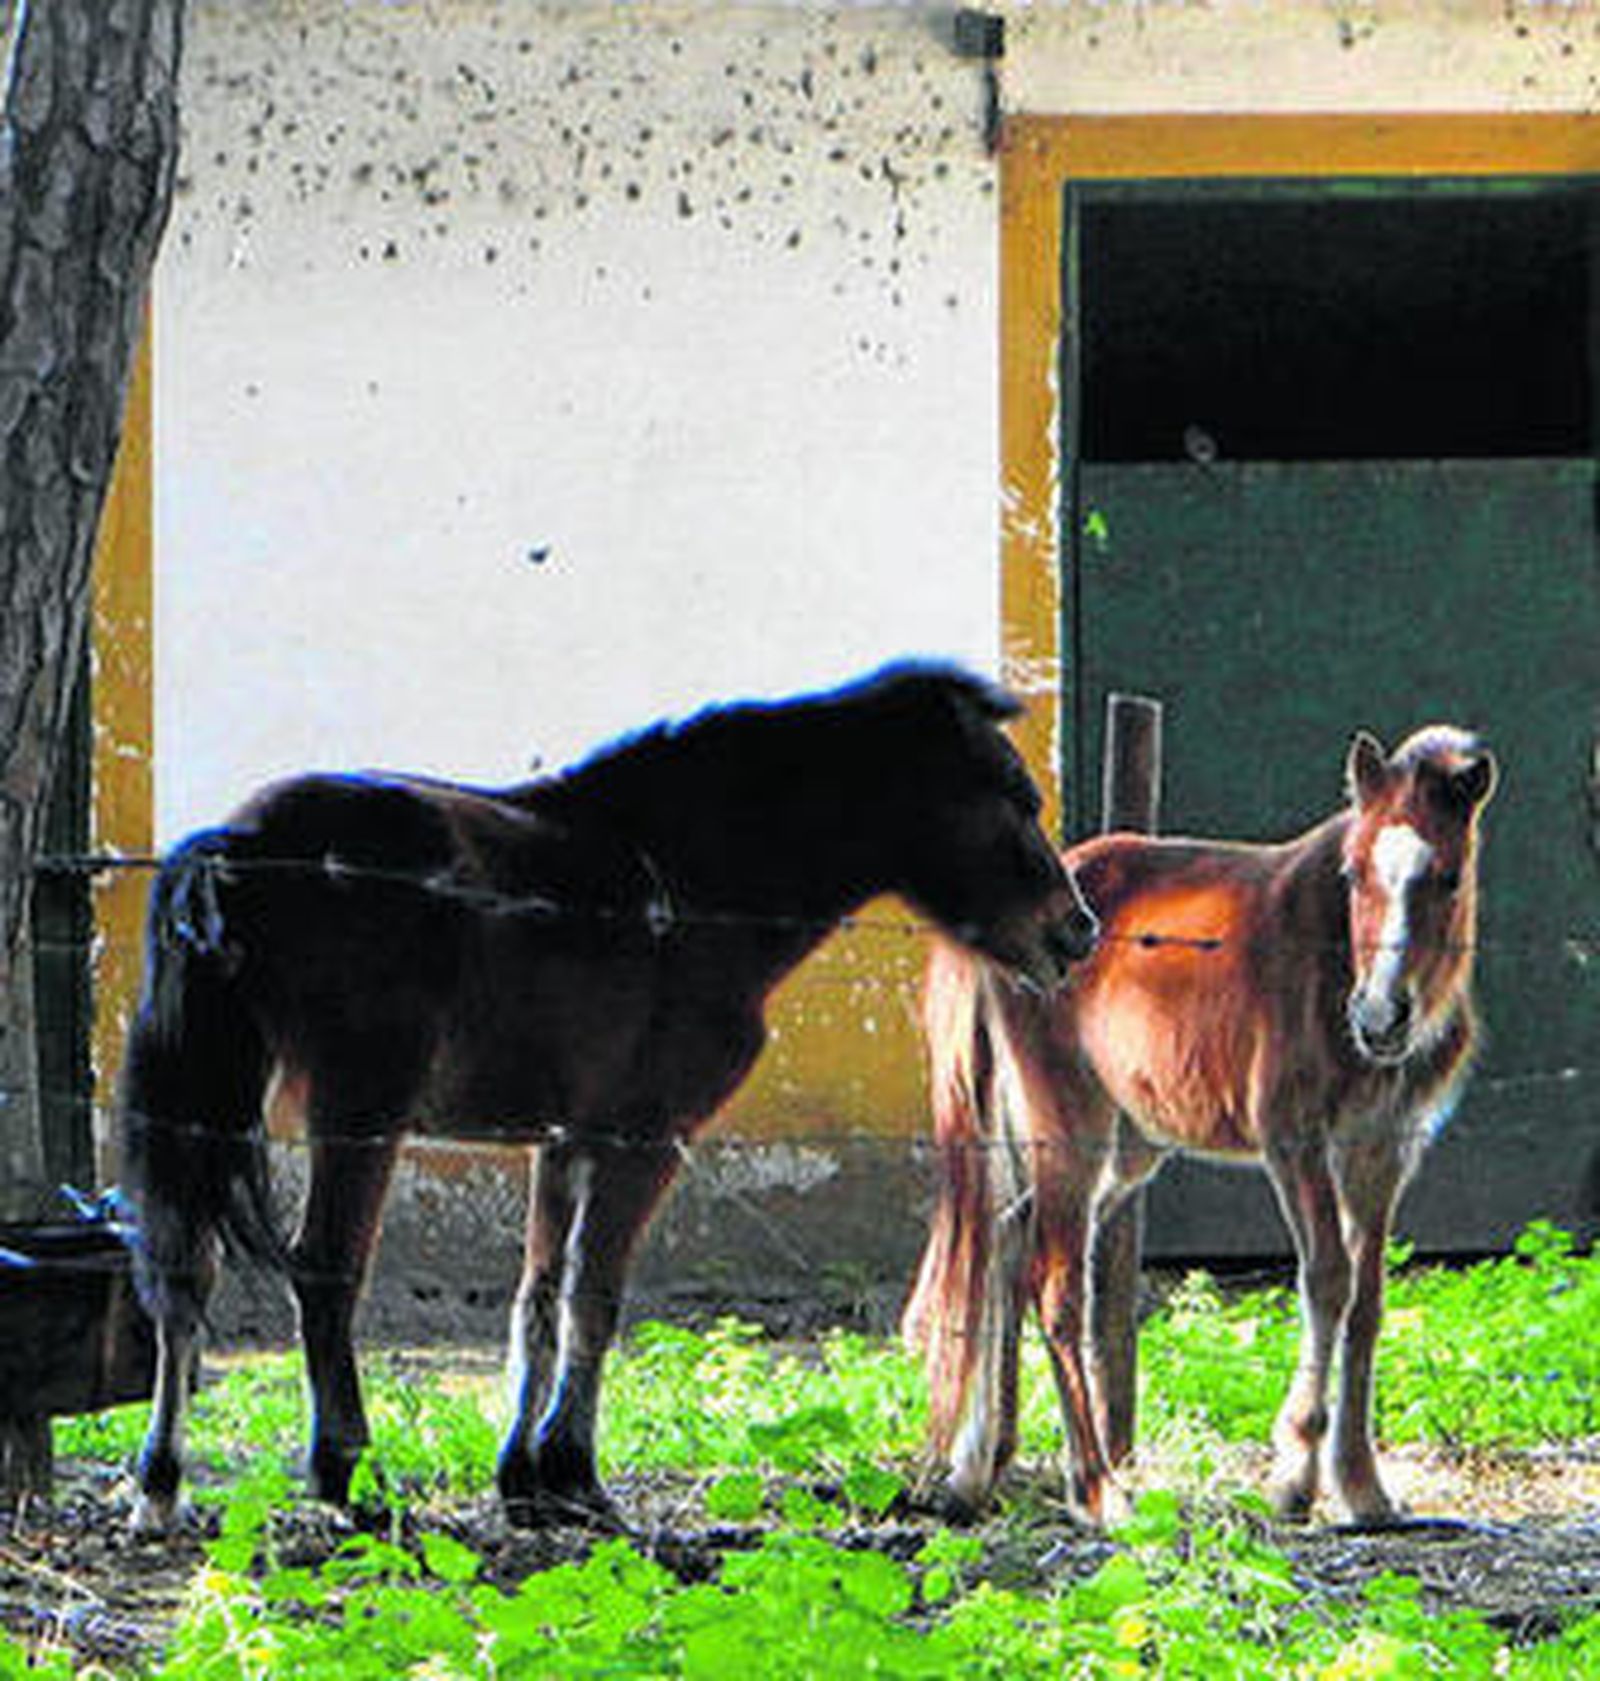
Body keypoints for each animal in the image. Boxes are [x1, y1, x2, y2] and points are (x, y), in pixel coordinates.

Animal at [118, 661, 1099, 1532]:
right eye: (1013, 796)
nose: (1077, 932)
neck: (688, 881)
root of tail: (235, 847)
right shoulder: (645, 1135)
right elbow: (597, 1292)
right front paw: (574, 1475)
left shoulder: (566, 1138)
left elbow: (540, 1295)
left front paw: (524, 1481)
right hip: (359, 1109)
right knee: (323, 1270)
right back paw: (347, 1476)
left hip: (216, 1101)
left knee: (182, 1268)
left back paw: (159, 1484)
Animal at [904, 725, 1496, 1527]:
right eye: (1353, 874)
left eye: (1449, 878)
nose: (1379, 1016)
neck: (1329, 961)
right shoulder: (1293, 1140)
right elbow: (1328, 1280)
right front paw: (1296, 1474)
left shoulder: (1383, 1152)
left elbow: (1368, 1299)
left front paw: (1362, 1484)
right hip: (1070, 1128)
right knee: (1054, 1283)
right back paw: (1099, 1491)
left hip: (1128, 1146)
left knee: (1005, 1235)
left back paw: (978, 1468)